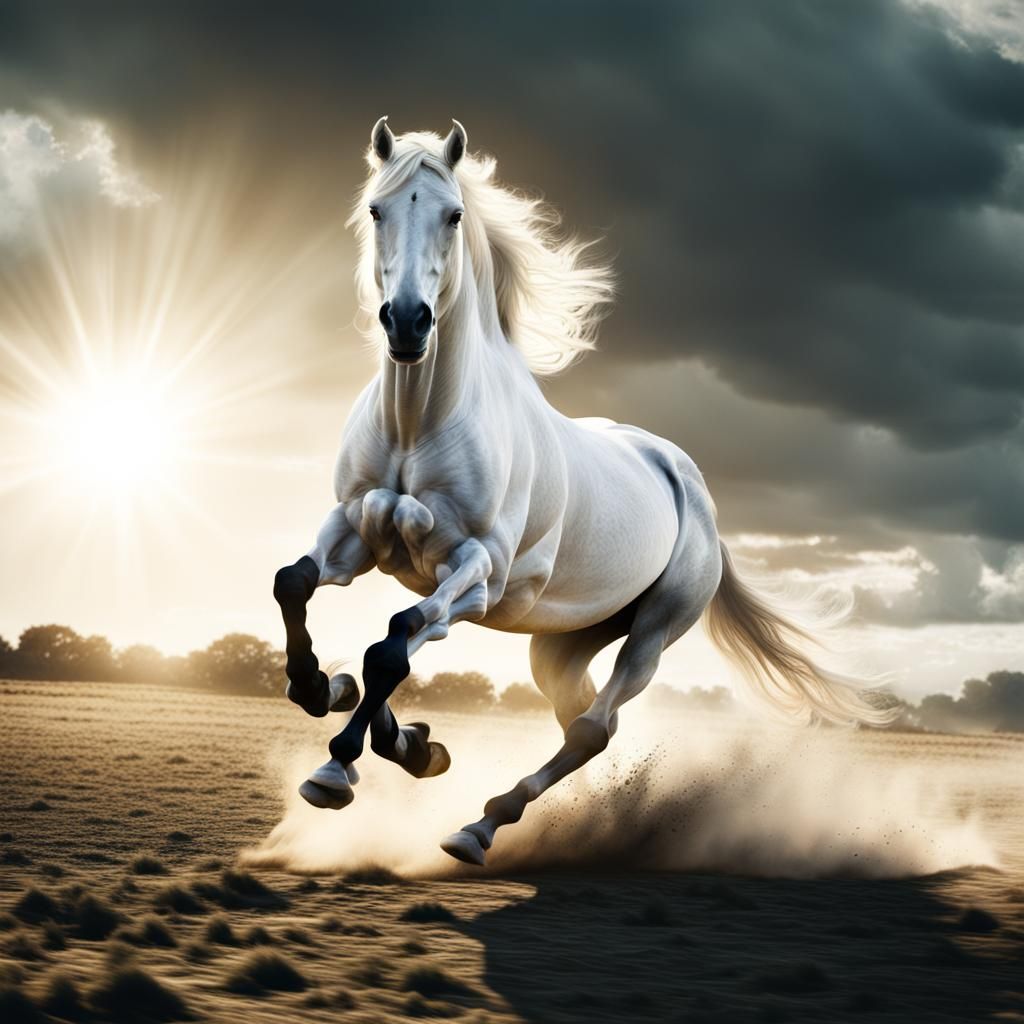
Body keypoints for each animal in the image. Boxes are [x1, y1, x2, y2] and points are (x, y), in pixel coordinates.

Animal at [273, 116, 891, 866]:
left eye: (453, 215)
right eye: (375, 209)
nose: (408, 324)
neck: (419, 421)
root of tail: (693, 488)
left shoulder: (477, 571)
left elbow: (392, 644)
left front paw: (339, 767)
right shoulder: (355, 530)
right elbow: (295, 586)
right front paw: (343, 700)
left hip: (654, 630)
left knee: (594, 727)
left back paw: (479, 827)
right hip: (563, 644)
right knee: (577, 714)